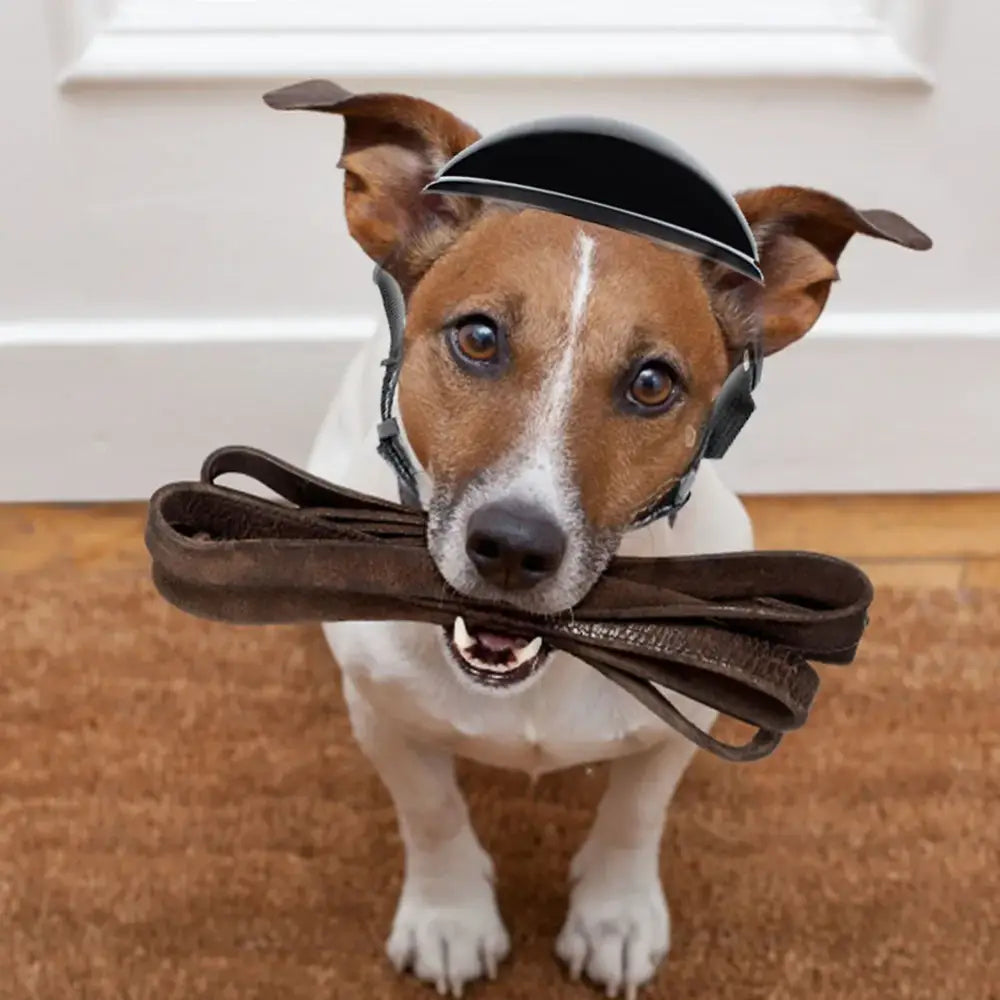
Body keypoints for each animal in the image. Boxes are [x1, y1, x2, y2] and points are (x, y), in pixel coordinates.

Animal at [264, 80, 928, 1000]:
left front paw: (614, 916)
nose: (514, 546)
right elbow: (430, 811)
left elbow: (635, 815)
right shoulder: (384, 715)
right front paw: (449, 915)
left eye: (653, 383)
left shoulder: (677, 722)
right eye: (478, 337)